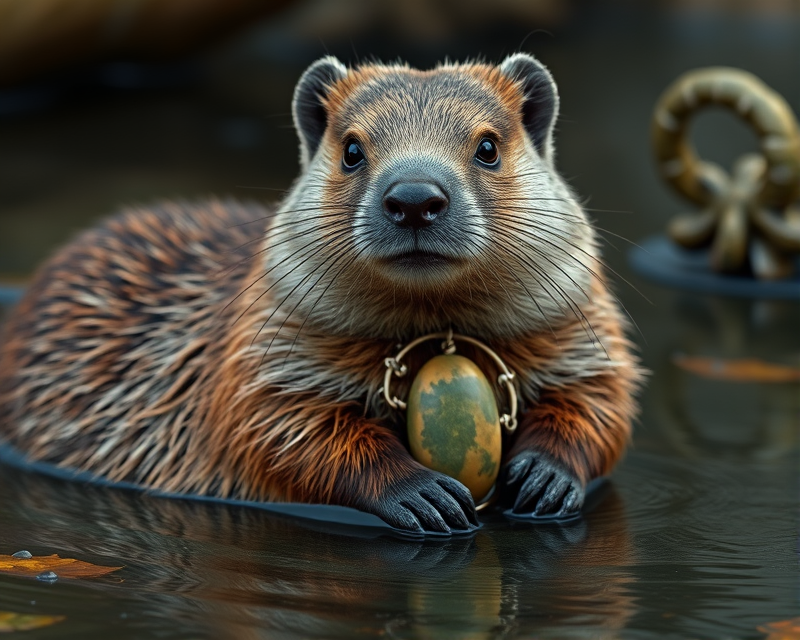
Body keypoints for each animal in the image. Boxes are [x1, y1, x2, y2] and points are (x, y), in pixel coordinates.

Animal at [0, 53, 640, 536]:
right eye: (352, 149)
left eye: (488, 147)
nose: (414, 197)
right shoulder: (261, 367)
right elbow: (280, 433)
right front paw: (416, 491)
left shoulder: (584, 337)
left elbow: (603, 404)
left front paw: (548, 472)